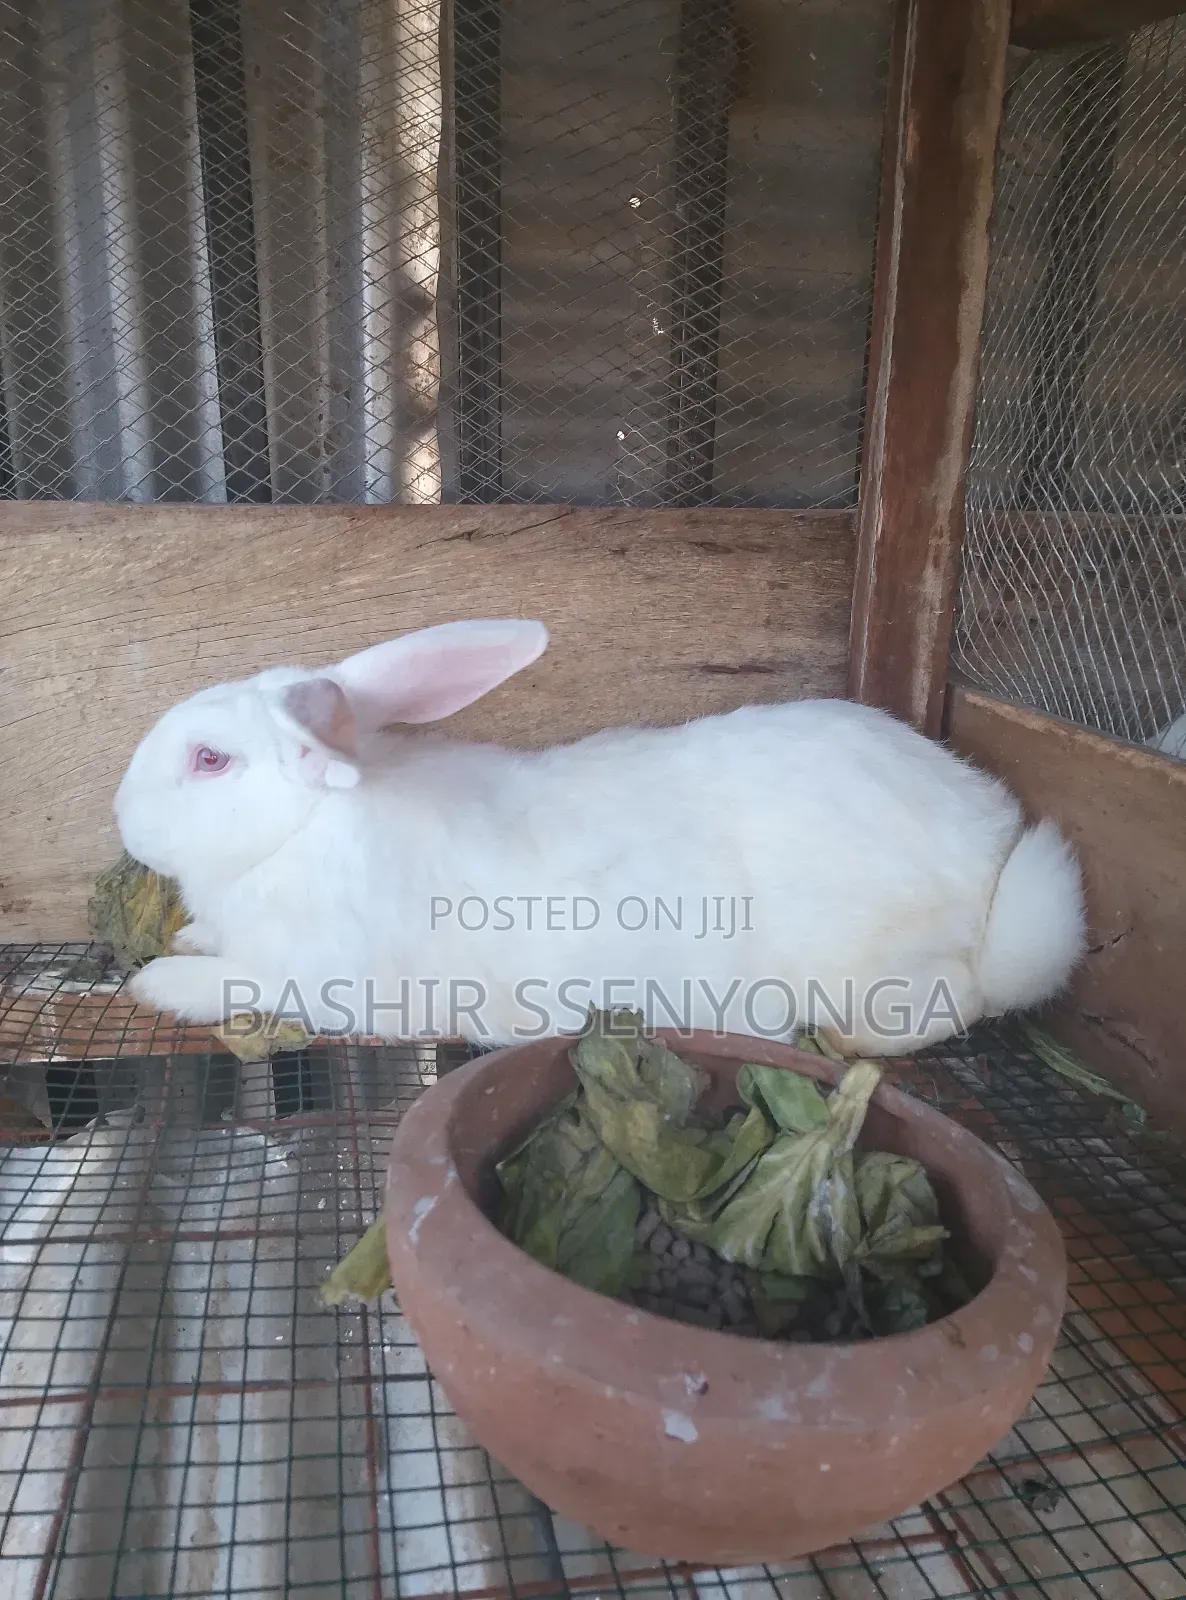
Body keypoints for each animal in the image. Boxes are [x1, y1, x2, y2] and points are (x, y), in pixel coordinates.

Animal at [114, 619, 1086, 1055]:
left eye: (210, 760)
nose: (123, 814)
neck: (300, 834)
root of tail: (989, 850)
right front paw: (185, 938)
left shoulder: (316, 978)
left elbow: (236, 983)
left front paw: (159, 981)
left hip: (882, 970)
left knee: (961, 999)